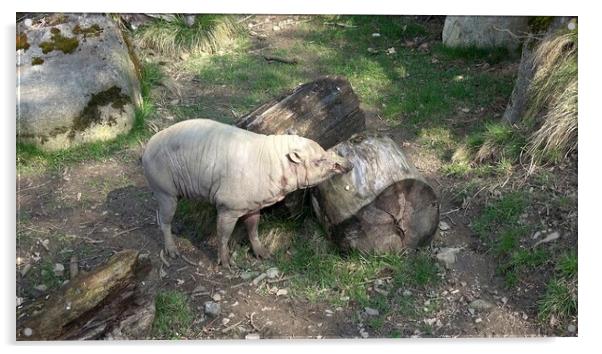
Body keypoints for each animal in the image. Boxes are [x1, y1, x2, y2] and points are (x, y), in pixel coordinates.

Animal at [141, 119, 352, 268]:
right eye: (319, 160)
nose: (348, 164)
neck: (274, 164)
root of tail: (147, 147)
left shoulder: (253, 204)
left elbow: (253, 228)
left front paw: (263, 254)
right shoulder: (227, 206)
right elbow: (223, 235)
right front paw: (226, 263)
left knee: (161, 215)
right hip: (164, 190)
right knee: (165, 220)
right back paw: (172, 251)